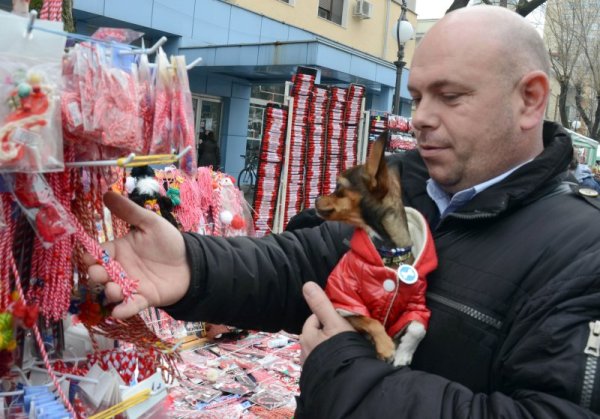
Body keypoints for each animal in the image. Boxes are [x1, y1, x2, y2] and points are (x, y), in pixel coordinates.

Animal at [314, 133, 436, 366]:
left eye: (338, 185)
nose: (316, 198)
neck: (389, 253)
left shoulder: (415, 306)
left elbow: (418, 328)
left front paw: (403, 354)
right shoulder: (345, 303)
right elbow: (369, 319)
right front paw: (386, 347)